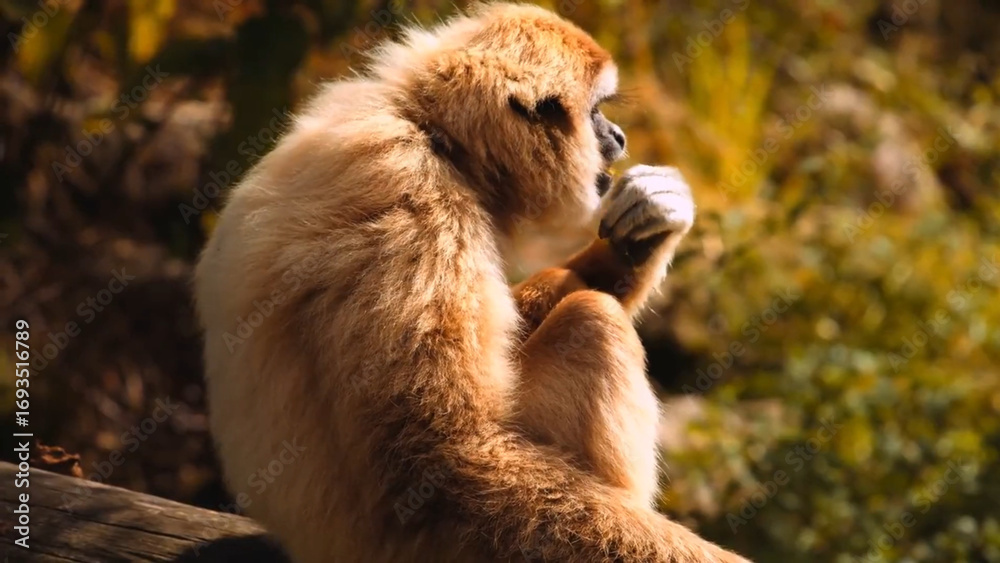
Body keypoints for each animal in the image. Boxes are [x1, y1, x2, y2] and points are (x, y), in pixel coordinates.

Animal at [194, 3, 749, 562]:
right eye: (596, 114)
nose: (618, 137)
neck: (429, 132)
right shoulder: (414, 201)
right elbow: (447, 457)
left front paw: (648, 223)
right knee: (591, 321)